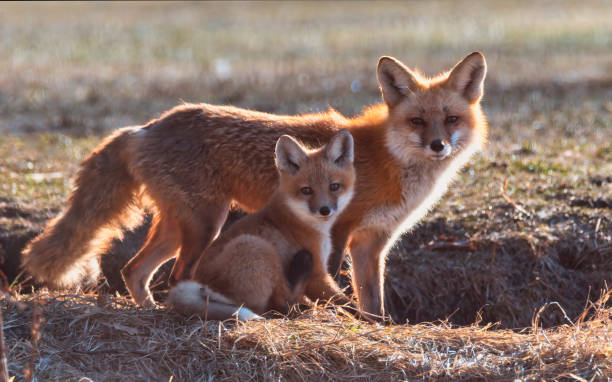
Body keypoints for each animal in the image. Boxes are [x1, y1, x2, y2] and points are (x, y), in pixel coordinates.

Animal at [170, 130, 356, 320]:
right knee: (282, 305)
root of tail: (202, 286)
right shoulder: (318, 275)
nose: (324, 210)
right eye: (306, 190)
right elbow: (348, 303)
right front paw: (364, 317)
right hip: (256, 246)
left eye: (334, 186)